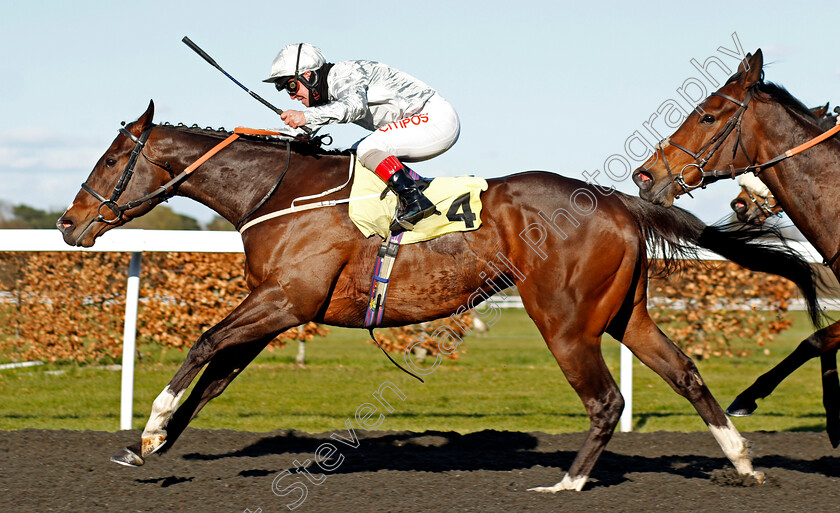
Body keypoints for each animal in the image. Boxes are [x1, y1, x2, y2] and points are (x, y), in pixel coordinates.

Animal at [57, 100, 820, 488]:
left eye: (109, 158)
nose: (69, 223)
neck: (279, 191)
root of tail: (620, 200)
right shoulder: (280, 309)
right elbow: (216, 375)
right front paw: (151, 446)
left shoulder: (285, 302)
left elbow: (204, 343)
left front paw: (151, 427)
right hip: (623, 314)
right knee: (685, 373)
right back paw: (742, 461)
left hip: (564, 318)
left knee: (606, 399)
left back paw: (566, 484)